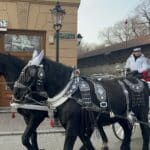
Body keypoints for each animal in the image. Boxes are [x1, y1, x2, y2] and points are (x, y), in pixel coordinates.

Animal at [13, 51, 149, 150]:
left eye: (29, 72)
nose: (16, 92)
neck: (71, 93)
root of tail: (140, 81)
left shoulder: (72, 126)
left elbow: (68, 146)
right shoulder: (77, 126)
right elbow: (88, 144)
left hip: (141, 113)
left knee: (145, 131)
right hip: (120, 116)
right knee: (128, 130)